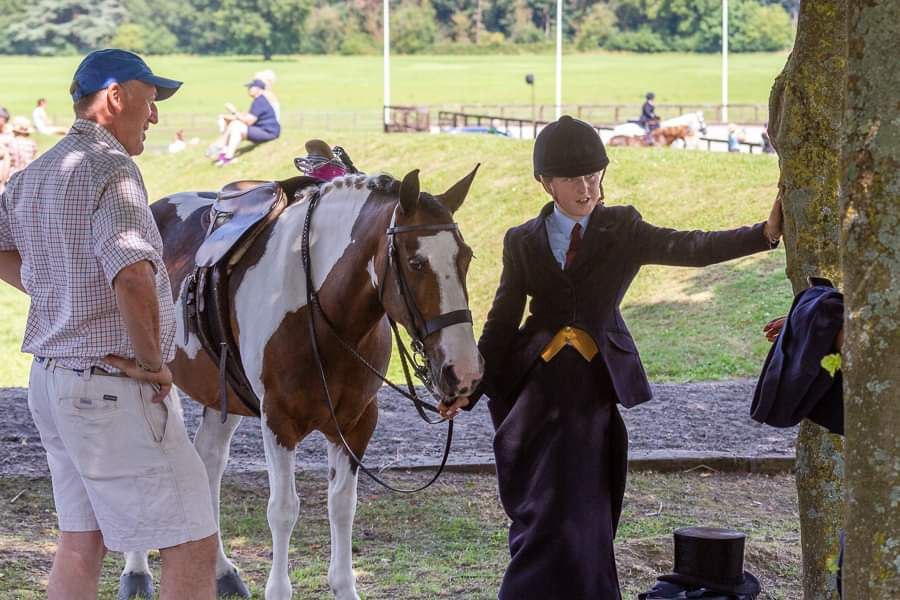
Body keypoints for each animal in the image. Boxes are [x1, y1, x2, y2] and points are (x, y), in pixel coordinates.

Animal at [120, 169, 488, 600]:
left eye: (466, 257)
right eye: (415, 262)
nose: (463, 370)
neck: (318, 307)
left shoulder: (357, 424)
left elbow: (342, 503)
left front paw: (344, 586)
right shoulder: (278, 421)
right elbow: (283, 509)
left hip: (222, 395)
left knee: (208, 462)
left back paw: (221, 571)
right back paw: (136, 571)